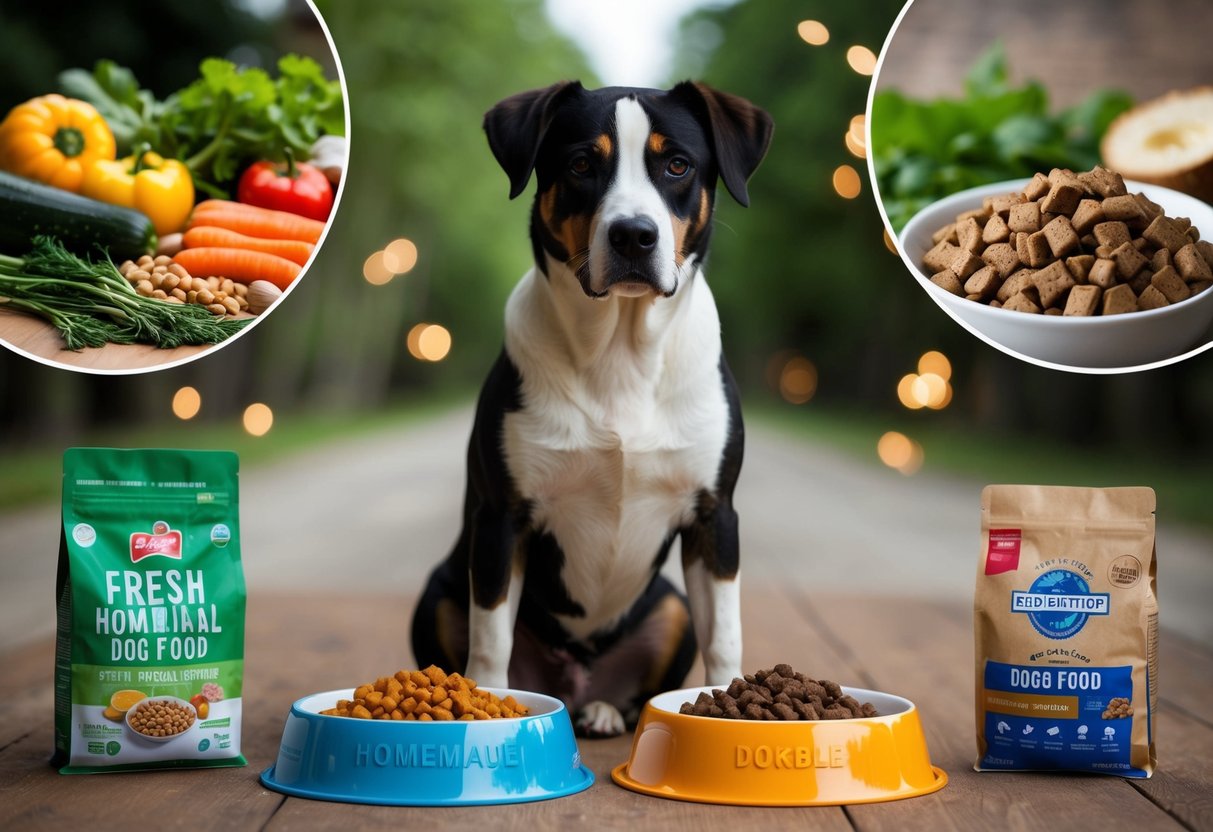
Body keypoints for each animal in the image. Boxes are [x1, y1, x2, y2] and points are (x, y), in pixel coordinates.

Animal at [412, 80, 771, 737]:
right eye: (582, 164)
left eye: (676, 164)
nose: (634, 235)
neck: (620, 353)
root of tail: (573, 682)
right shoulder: (503, 518)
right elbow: (490, 641)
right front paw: (487, 709)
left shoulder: (714, 516)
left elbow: (726, 635)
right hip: (440, 592)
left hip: (670, 606)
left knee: (633, 687)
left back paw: (605, 710)